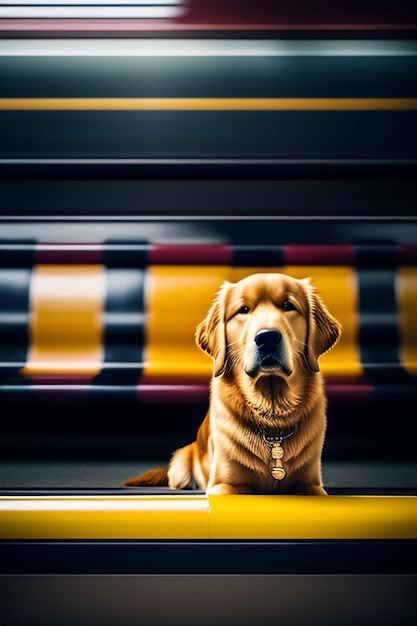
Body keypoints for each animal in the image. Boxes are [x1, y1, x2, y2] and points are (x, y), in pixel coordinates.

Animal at [124, 272, 342, 492]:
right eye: (243, 310)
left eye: (288, 305)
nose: (267, 338)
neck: (272, 419)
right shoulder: (223, 483)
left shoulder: (311, 484)